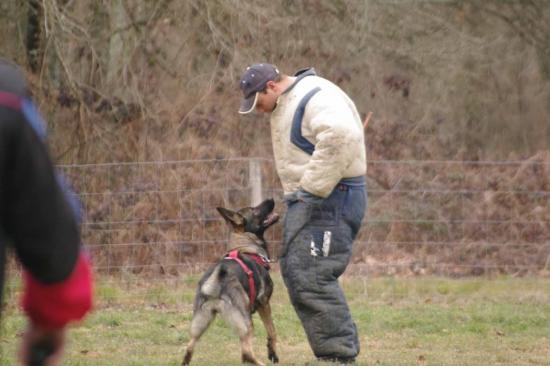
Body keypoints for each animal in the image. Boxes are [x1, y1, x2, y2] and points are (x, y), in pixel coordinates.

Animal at [184, 199, 282, 364]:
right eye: (254, 210)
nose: (271, 199)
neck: (245, 245)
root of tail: (217, 285)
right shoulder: (264, 303)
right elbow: (272, 331)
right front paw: (273, 353)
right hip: (246, 322)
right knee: (246, 353)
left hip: (200, 321)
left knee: (189, 347)